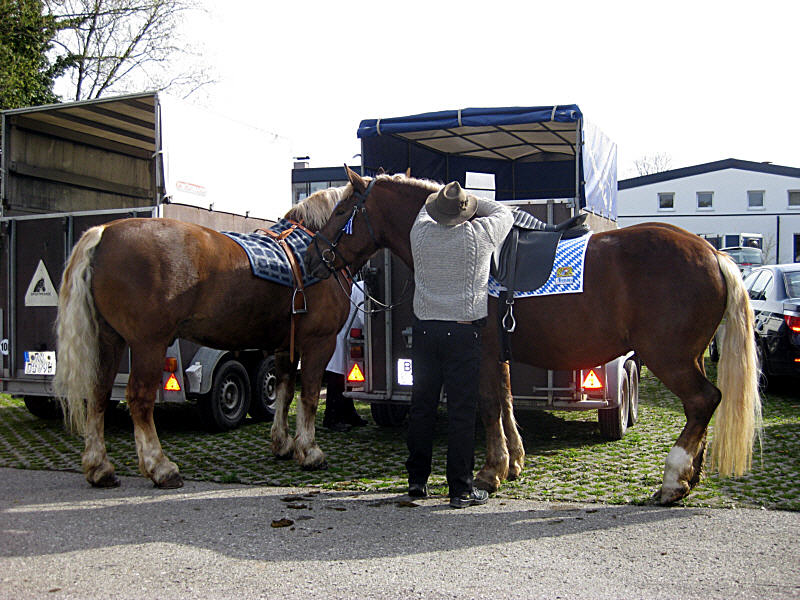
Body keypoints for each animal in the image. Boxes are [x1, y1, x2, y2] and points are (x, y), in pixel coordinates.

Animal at [56, 188, 354, 488]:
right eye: (342, 211)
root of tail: (105, 232)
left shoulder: (285, 346)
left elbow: (284, 391)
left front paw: (282, 444)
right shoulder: (319, 342)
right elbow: (310, 395)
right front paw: (310, 452)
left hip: (109, 340)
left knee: (98, 393)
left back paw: (100, 468)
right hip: (148, 344)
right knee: (139, 399)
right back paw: (160, 468)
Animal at [304, 169, 764, 506]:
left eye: (342, 209)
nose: (312, 258)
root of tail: (714, 254)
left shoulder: (483, 350)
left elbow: (489, 405)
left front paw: (489, 473)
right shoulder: (501, 352)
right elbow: (506, 401)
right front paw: (513, 463)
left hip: (668, 356)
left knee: (702, 401)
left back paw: (672, 481)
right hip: (689, 356)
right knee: (702, 405)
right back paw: (691, 476)